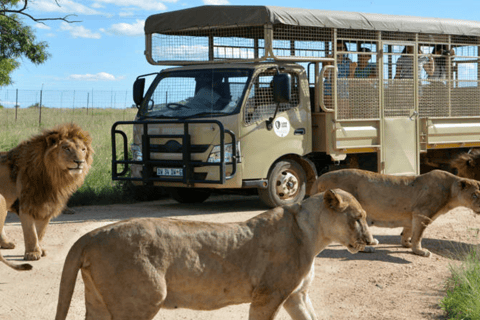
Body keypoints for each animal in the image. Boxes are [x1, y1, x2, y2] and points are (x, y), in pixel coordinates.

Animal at [0, 122, 93, 260]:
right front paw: (32, 253)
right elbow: (31, 232)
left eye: (83, 149)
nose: (80, 162)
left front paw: (40, 249)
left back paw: (6, 244)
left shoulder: (47, 205)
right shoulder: (26, 204)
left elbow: (40, 232)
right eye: (66, 148)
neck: (54, 176)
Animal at [54, 190, 374, 320]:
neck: (313, 235)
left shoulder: (296, 296)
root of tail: (91, 235)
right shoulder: (268, 295)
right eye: (357, 218)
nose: (371, 240)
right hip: (142, 300)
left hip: (99, 302)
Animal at [310, 169, 480, 256]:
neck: (451, 190)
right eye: (475, 195)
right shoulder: (422, 214)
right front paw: (419, 251)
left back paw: (372, 241)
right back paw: (368, 248)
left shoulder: (412, 215)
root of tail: (320, 178)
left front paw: (406, 244)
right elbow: (418, 235)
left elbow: (408, 232)